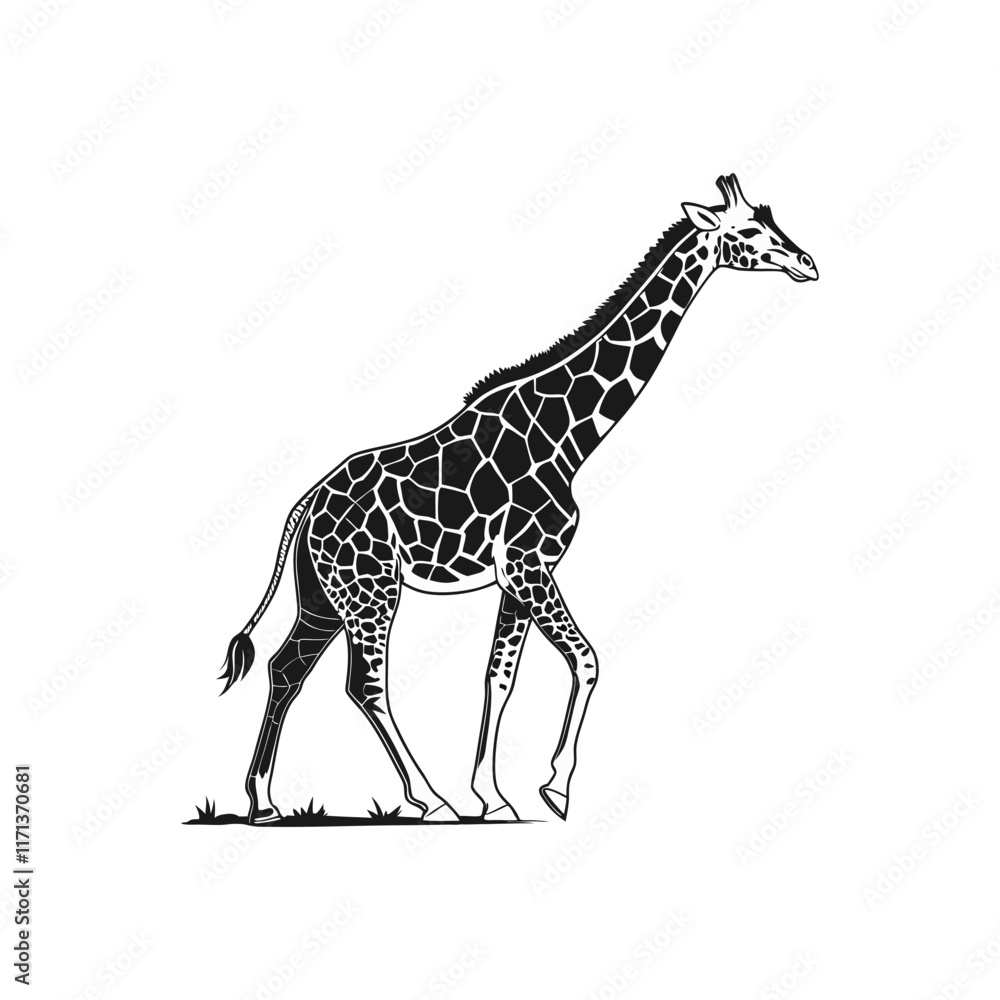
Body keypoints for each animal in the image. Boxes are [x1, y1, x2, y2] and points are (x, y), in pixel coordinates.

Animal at [219, 174, 818, 825]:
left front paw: (493, 796)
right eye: (750, 231)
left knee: (286, 669)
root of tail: (304, 507)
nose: (807, 264)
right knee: (364, 684)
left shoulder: (519, 574)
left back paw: (264, 801)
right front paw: (553, 788)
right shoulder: (530, 565)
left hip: (324, 596)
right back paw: (428, 799)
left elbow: (498, 676)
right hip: (370, 589)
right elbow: (587, 659)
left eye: (773, 220)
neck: (569, 436)